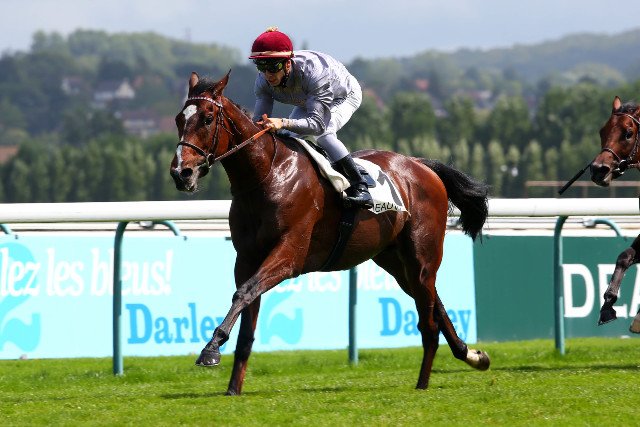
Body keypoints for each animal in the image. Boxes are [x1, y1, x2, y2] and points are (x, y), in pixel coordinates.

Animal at [169, 71, 491, 395]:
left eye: (208, 118)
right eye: (178, 119)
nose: (181, 173)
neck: (267, 175)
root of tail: (422, 165)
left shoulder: (289, 255)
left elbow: (244, 292)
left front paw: (210, 349)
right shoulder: (246, 258)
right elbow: (246, 317)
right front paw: (233, 388)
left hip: (422, 257)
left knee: (429, 323)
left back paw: (423, 384)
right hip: (395, 261)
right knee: (435, 304)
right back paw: (472, 356)